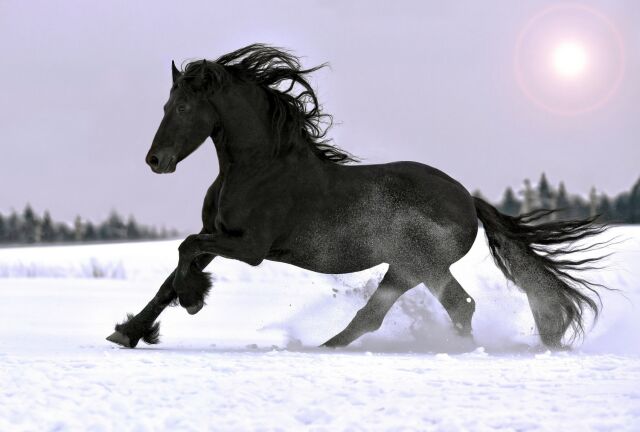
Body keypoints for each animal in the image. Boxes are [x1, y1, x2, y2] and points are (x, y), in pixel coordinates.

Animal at [107, 42, 608, 350]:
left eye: (184, 106)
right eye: (166, 105)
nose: (156, 160)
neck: (256, 168)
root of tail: (469, 201)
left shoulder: (249, 247)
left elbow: (184, 249)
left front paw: (193, 299)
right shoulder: (219, 233)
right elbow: (172, 273)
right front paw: (128, 332)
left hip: (416, 263)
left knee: (438, 308)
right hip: (411, 266)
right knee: (420, 310)